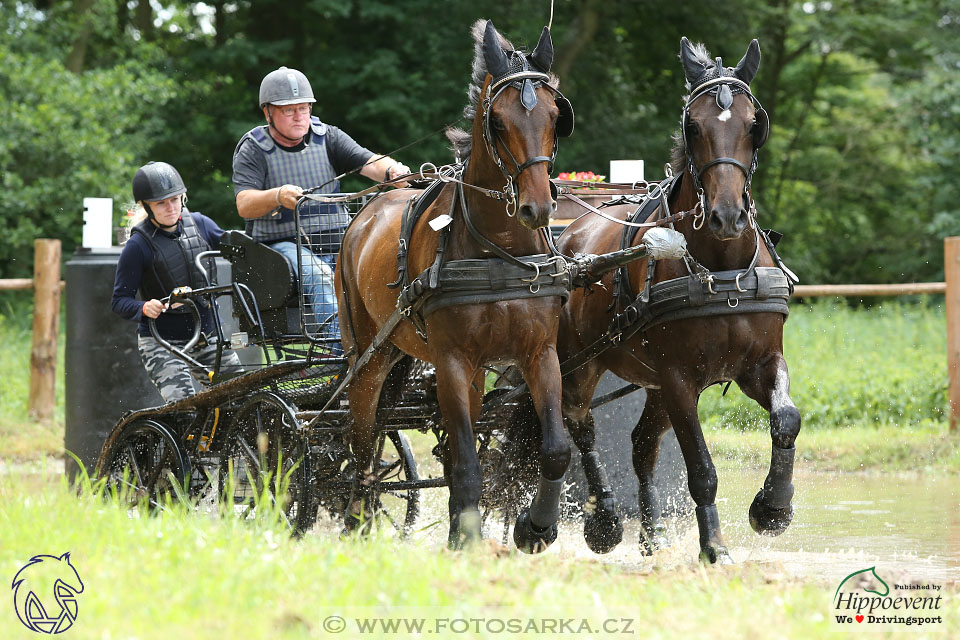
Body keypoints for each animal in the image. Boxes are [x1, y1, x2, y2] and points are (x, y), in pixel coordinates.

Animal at [338, 20, 572, 552]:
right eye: (498, 122)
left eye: (554, 115)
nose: (537, 208)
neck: (499, 250)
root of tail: (365, 213)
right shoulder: (449, 360)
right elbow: (465, 461)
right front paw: (464, 539)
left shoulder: (540, 353)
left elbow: (554, 449)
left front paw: (535, 526)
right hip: (367, 356)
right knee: (361, 438)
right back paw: (357, 515)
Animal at [560, 37, 800, 564]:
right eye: (693, 127)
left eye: (755, 126)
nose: (728, 216)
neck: (724, 268)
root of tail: (570, 235)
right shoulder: (679, 379)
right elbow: (701, 467)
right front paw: (714, 546)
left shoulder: (761, 363)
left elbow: (786, 419)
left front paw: (773, 507)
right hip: (582, 365)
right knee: (579, 425)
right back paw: (604, 520)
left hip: (651, 385)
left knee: (641, 445)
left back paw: (651, 532)